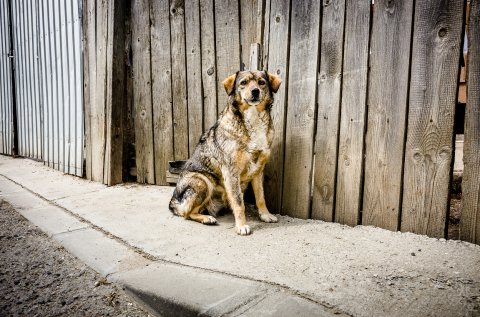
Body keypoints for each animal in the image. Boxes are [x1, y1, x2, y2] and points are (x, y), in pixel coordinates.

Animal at [169, 70, 282, 233]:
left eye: (261, 82)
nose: (255, 91)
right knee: (187, 213)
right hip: (202, 181)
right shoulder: (231, 171)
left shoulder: (258, 170)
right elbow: (239, 203)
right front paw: (241, 226)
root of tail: (173, 201)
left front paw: (265, 215)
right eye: (243, 83)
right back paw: (207, 218)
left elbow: (261, 197)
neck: (252, 119)